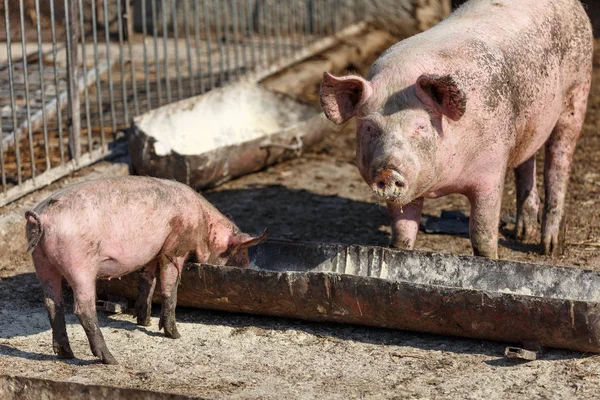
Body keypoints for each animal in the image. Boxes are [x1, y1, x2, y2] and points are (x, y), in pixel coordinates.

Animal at [25, 177, 268, 364]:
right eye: (238, 255)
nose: (245, 268)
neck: (202, 221)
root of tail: (43, 217)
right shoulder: (174, 247)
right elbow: (170, 286)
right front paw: (175, 335)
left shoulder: (153, 252)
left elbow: (147, 281)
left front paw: (144, 321)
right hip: (79, 264)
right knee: (83, 309)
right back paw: (110, 359)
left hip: (42, 261)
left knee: (52, 304)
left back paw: (66, 354)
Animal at [322, 0, 592, 258]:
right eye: (370, 127)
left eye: (420, 126)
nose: (388, 171)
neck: (444, 184)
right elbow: (402, 233)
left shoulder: (491, 172)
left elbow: (482, 233)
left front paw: (489, 258)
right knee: (526, 161)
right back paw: (523, 234)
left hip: (577, 92)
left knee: (558, 164)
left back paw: (549, 248)